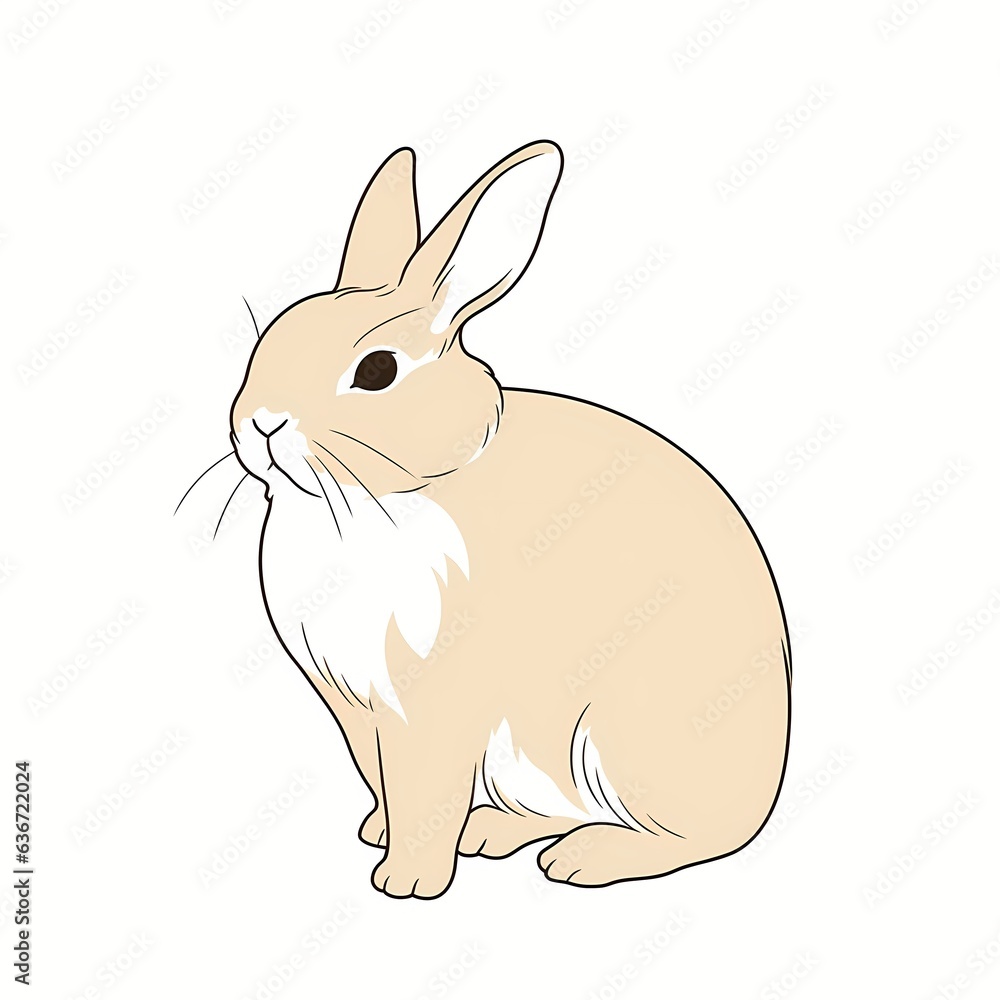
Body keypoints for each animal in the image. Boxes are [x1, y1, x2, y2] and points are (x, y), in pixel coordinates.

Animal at [228, 141, 791, 899]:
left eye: (376, 371)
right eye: (270, 340)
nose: (261, 422)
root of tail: (767, 791)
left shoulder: (433, 705)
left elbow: (424, 789)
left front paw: (406, 881)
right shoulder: (356, 709)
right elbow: (385, 782)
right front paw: (377, 833)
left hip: (620, 737)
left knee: (694, 840)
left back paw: (585, 859)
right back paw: (494, 833)